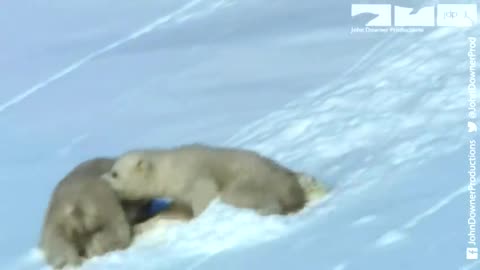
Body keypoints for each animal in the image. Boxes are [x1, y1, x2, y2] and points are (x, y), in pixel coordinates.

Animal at [102, 143, 324, 217]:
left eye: (115, 173)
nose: (102, 178)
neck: (169, 168)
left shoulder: (194, 174)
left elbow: (205, 192)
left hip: (255, 180)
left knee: (240, 194)